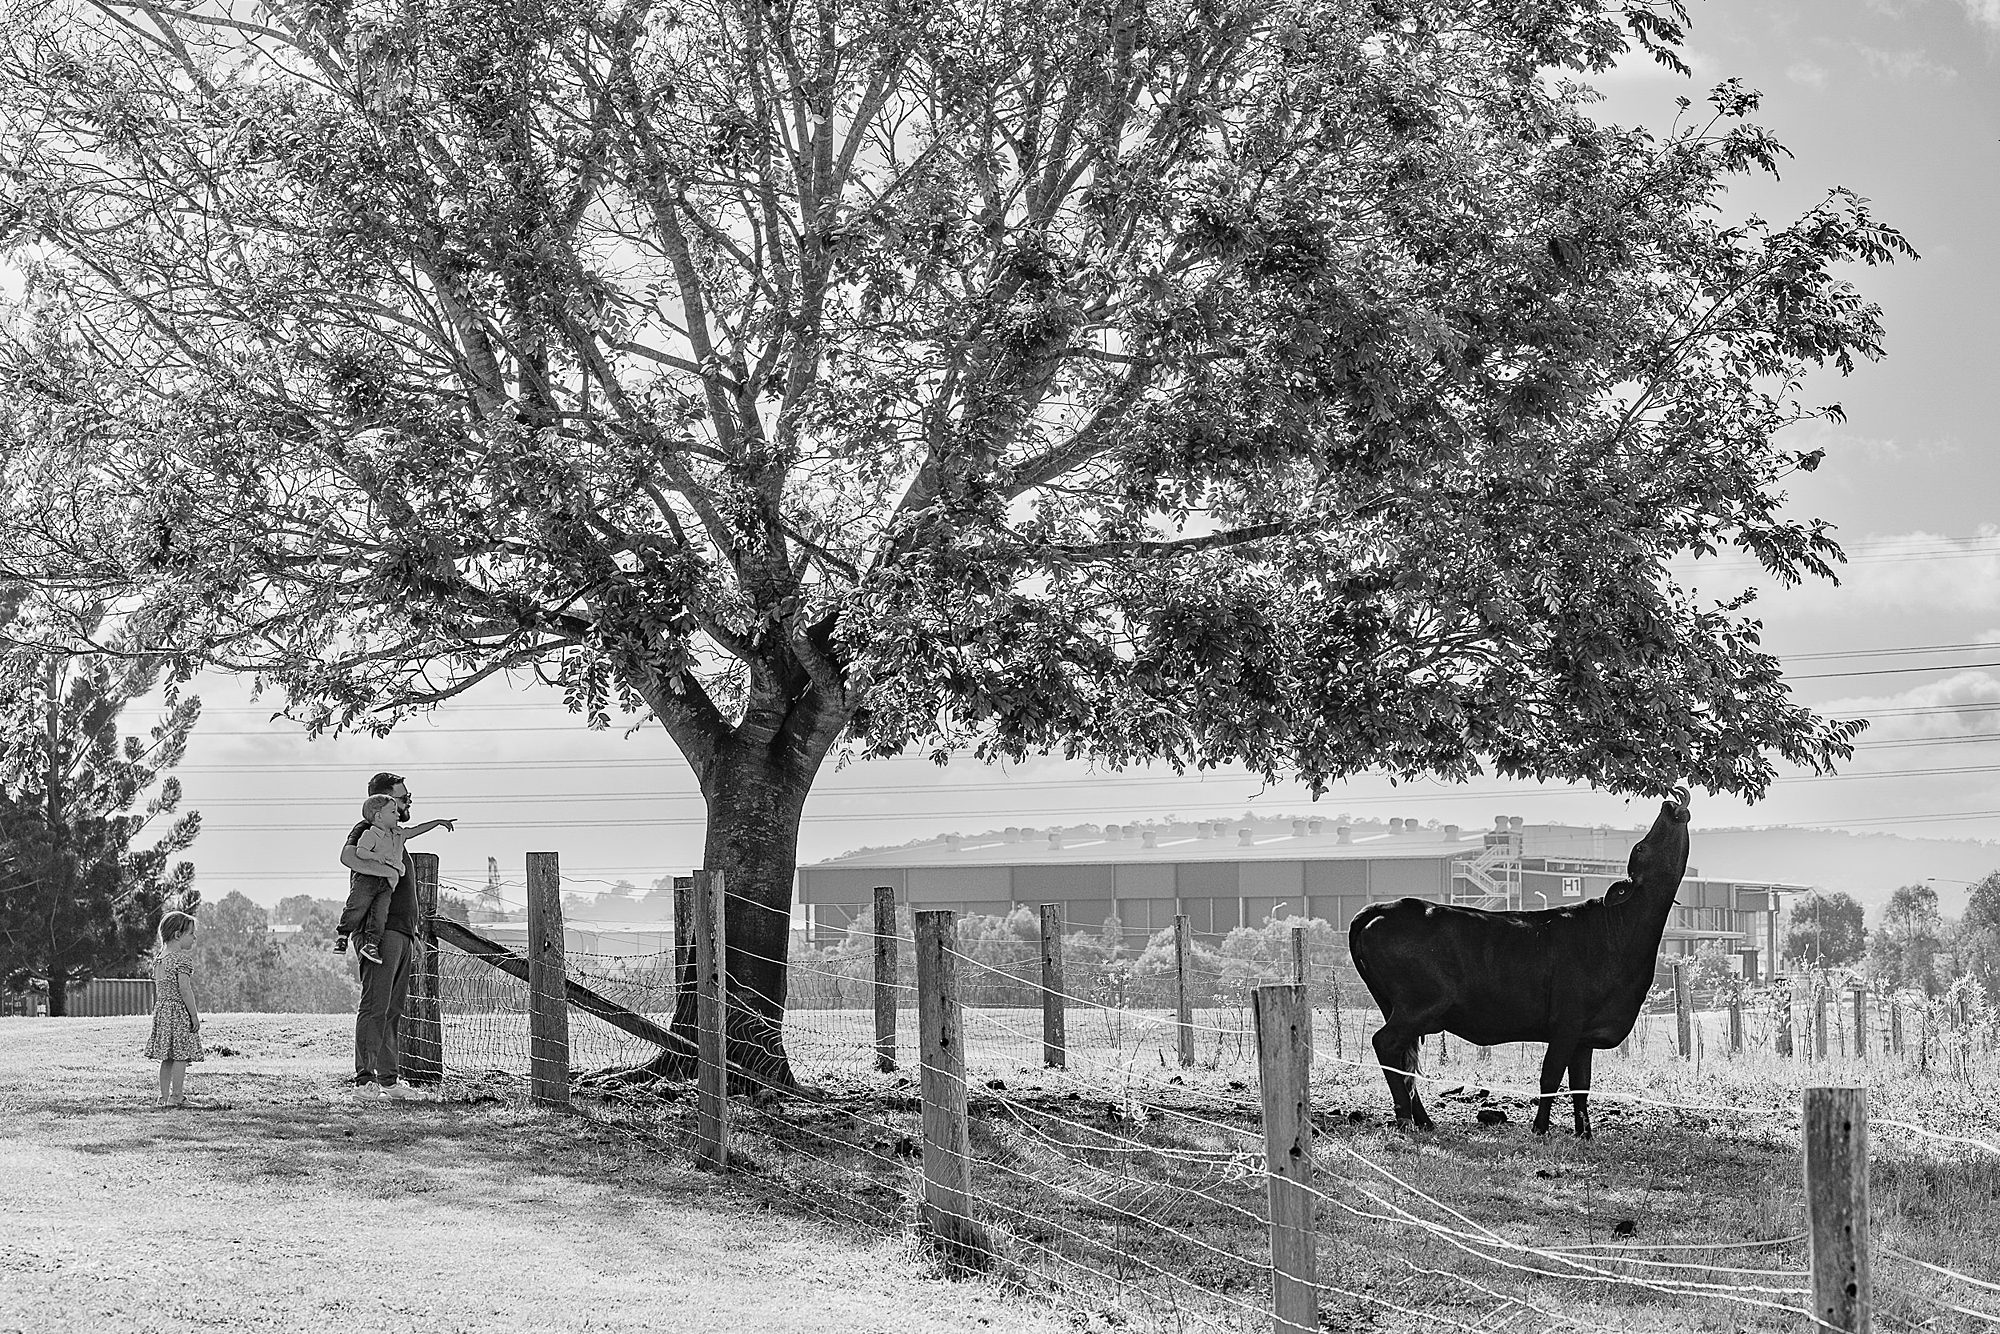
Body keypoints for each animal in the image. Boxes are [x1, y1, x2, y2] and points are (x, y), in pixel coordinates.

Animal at [1348, 789, 1692, 1137]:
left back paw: (1424, 1120)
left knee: (1403, 1059)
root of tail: (1387, 907)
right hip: (1419, 1004)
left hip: (1396, 1006)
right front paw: (1540, 1128)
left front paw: (1584, 1133)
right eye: (1640, 847)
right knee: (1386, 1044)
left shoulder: (1584, 1034)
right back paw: (1405, 1119)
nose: (1669, 804)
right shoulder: (1566, 1023)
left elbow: (1581, 1086)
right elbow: (1550, 1077)